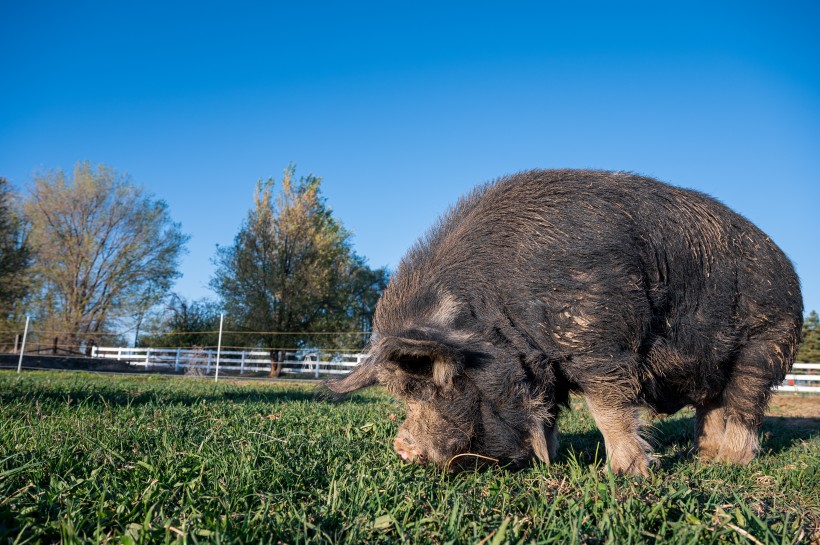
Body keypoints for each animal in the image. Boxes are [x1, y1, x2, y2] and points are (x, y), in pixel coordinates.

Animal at [326, 168, 800, 474]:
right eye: (403, 392)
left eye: (435, 384)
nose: (401, 447)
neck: (500, 316)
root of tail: (790, 271)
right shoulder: (545, 366)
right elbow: (550, 414)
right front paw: (548, 462)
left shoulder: (598, 345)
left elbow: (609, 411)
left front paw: (625, 475)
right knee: (711, 406)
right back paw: (706, 458)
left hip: (764, 345)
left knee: (743, 405)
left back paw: (732, 464)